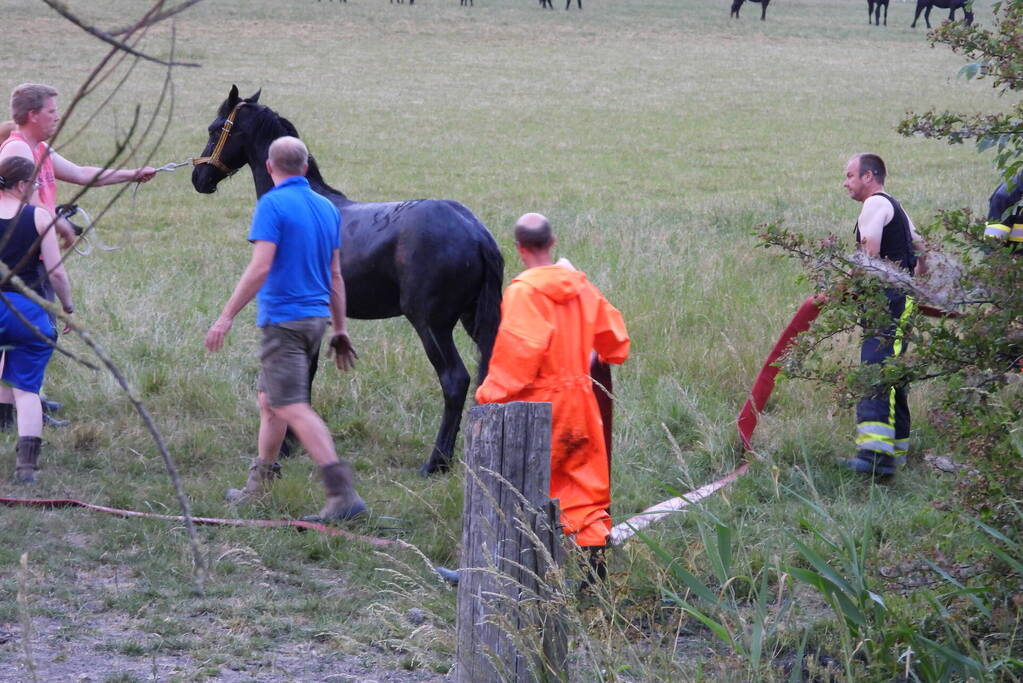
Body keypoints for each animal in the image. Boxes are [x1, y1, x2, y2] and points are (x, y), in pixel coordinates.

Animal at [192, 85, 503, 474]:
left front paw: (285, 444)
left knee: (455, 380)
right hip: (473, 319)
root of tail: (475, 231)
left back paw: (436, 462)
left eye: (215, 128)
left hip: (431, 324)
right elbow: (307, 372)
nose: (198, 178)